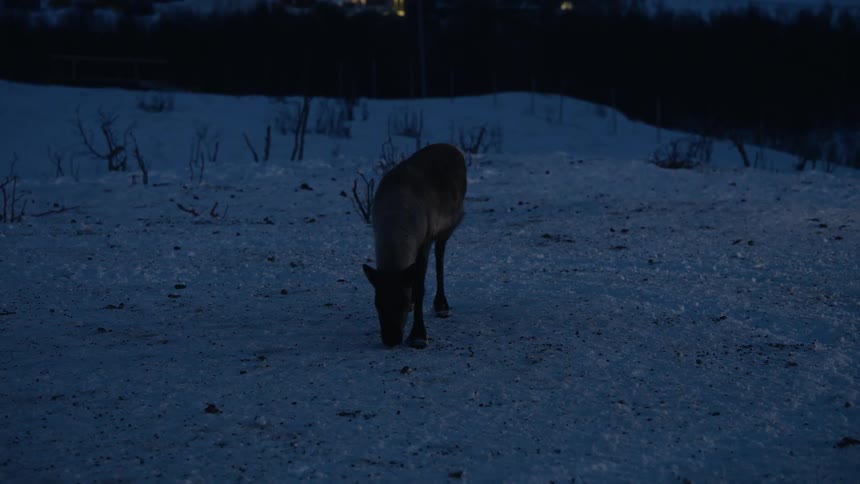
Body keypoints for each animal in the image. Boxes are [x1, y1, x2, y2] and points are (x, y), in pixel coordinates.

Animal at [362, 143, 467, 349]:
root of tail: (454, 148)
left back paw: (441, 305)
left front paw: (418, 335)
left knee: (440, 255)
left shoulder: (425, 242)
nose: (391, 339)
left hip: (447, 227)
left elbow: (420, 288)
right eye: (377, 304)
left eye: (401, 303)